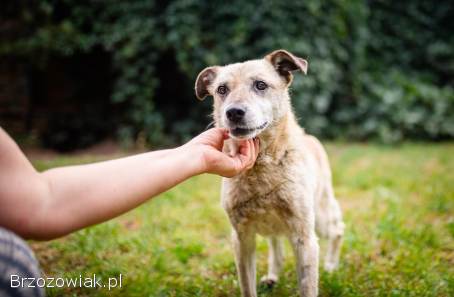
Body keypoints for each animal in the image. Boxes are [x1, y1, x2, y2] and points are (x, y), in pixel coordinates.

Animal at [194, 49, 344, 294]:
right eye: (222, 89)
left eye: (261, 85)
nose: (233, 112)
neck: (261, 167)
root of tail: (310, 138)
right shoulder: (242, 238)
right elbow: (247, 286)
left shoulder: (304, 237)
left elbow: (308, 286)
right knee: (276, 247)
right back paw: (273, 276)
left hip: (321, 217)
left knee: (338, 230)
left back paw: (331, 264)